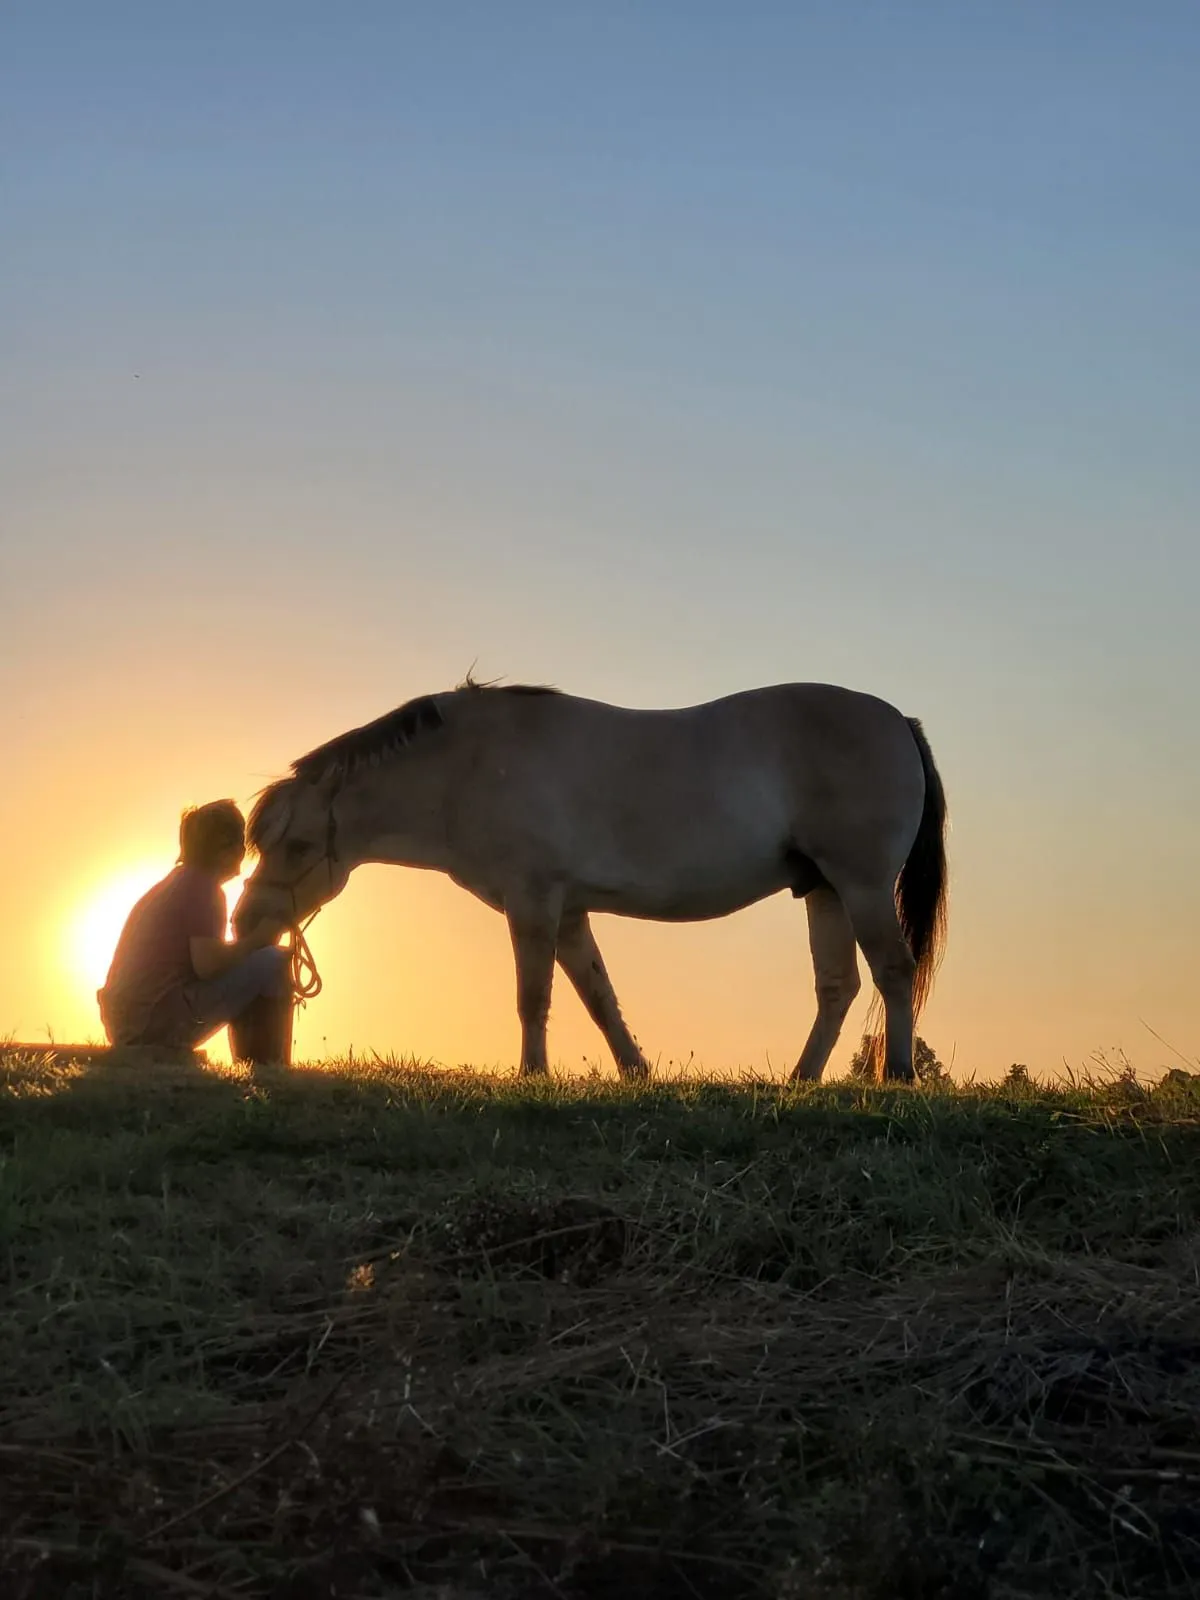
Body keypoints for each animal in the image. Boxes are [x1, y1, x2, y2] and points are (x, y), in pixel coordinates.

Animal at [234, 680, 948, 1083]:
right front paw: (636, 1073)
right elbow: (598, 996)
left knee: (892, 970)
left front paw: (532, 1075)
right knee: (838, 987)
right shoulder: (569, 911)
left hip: (860, 885)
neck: (471, 765)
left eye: (298, 846)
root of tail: (897, 720)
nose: (248, 923)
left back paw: (897, 1075)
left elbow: (534, 996)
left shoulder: (534, 901)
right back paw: (800, 1080)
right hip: (823, 890)